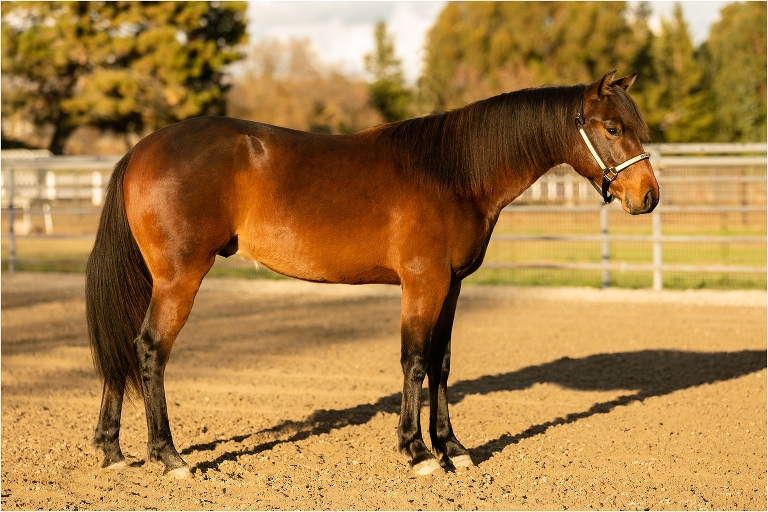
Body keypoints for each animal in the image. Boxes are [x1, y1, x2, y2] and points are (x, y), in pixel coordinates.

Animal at [86, 70, 659, 478]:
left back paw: (112, 450)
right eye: (612, 128)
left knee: (123, 348)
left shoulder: (451, 285)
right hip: (179, 279)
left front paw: (453, 448)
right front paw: (418, 453)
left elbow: (441, 363)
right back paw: (169, 457)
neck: (453, 171)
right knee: (150, 350)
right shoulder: (422, 283)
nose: (648, 196)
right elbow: (414, 361)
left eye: (639, 128)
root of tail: (141, 149)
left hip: (153, 279)